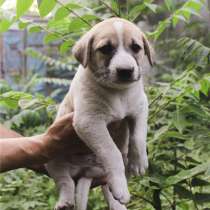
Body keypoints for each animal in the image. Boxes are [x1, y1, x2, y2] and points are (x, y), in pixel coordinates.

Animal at [46, 17, 153, 210]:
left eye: (136, 47)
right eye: (105, 49)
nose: (125, 71)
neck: (118, 92)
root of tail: (85, 172)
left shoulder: (140, 107)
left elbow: (138, 136)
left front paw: (139, 161)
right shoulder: (89, 120)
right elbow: (111, 151)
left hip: (103, 172)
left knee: (107, 189)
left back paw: (119, 202)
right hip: (51, 156)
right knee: (65, 181)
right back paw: (65, 201)